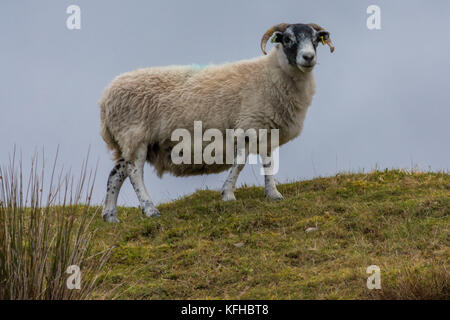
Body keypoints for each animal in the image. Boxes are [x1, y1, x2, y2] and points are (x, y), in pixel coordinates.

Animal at [99, 23, 334, 222]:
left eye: (315, 40)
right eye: (288, 39)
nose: (308, 57)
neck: (270, 74)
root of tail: (105, 98)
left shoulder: (267, 130)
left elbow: (268, 164)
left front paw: (273, 194)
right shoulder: (248, 125)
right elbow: (239, 164)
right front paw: (228, 194)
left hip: (127, 141)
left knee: (116, 174)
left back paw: (110, 216)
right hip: (135, 135)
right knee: (134, 173)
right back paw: (149, 209)